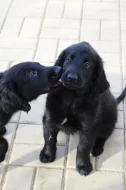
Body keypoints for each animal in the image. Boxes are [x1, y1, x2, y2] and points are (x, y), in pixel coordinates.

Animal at [39, 42, 126, 176]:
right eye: (68, 59)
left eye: (87, 64)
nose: (71, 78)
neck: (71, 97)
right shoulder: (50, 119)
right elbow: (49, 139)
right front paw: (47, 155)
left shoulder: (88, 127)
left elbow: (83, 147)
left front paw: (83, 165)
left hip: (109, 120)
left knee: (104, 136)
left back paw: (97, 148)